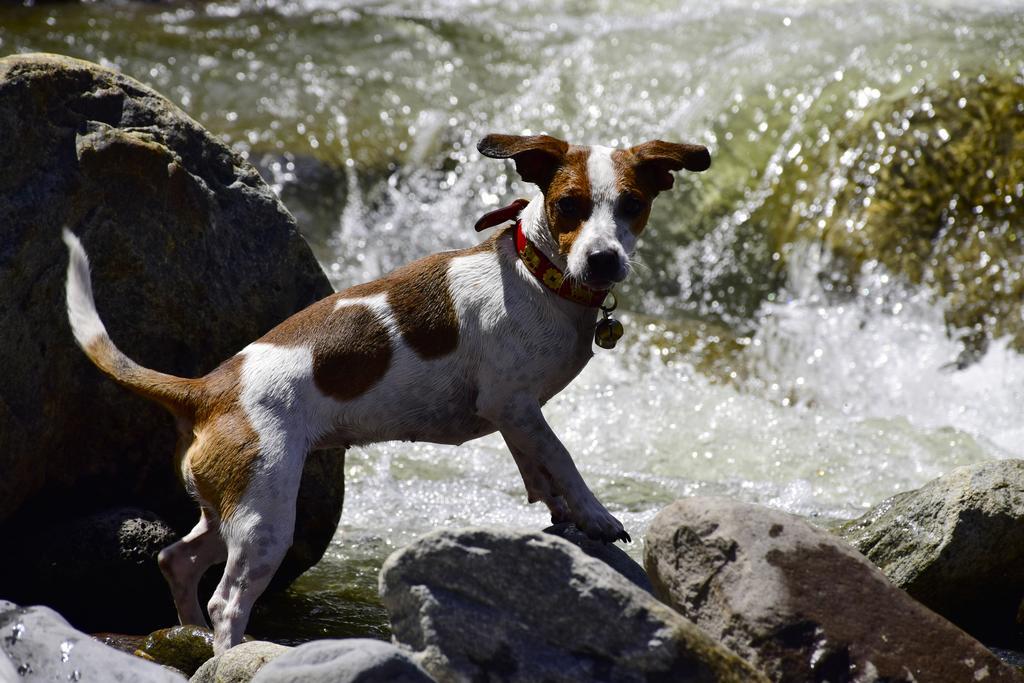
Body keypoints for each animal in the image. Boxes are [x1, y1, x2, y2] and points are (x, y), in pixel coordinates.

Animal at [59, 133, 708, 651]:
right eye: (569, 205)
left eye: (632, 205)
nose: (603, 261)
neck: (539, 273)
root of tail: (208, 389)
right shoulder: (514, 406)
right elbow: (564, 459)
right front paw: (596, 515)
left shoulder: (516, 418)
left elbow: (540, 471)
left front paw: (563, 516)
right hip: (265, 518)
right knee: (228, 600)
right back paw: (223, 649)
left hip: (231, 505)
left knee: (176, 559)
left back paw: (188, 630)